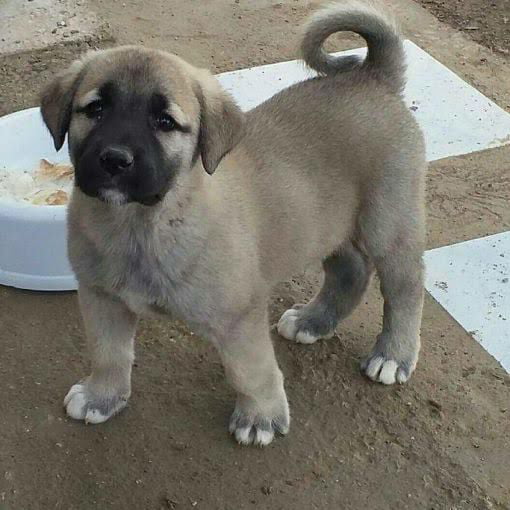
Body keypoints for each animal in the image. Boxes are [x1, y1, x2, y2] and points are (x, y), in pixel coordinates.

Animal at [41, 0, 426, 446]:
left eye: (165, 121)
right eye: (96, 108)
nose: (115, 160)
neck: (143, 224)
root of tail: (372, 76)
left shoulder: (240, 315)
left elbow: (250, 371)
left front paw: (260, 417)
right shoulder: (102, 298)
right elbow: (108, 354)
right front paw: (102, 396)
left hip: (389, 223)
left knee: (405, 287)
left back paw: (393, 355)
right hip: (329, 224)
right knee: (351, 270)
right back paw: (313, 321)